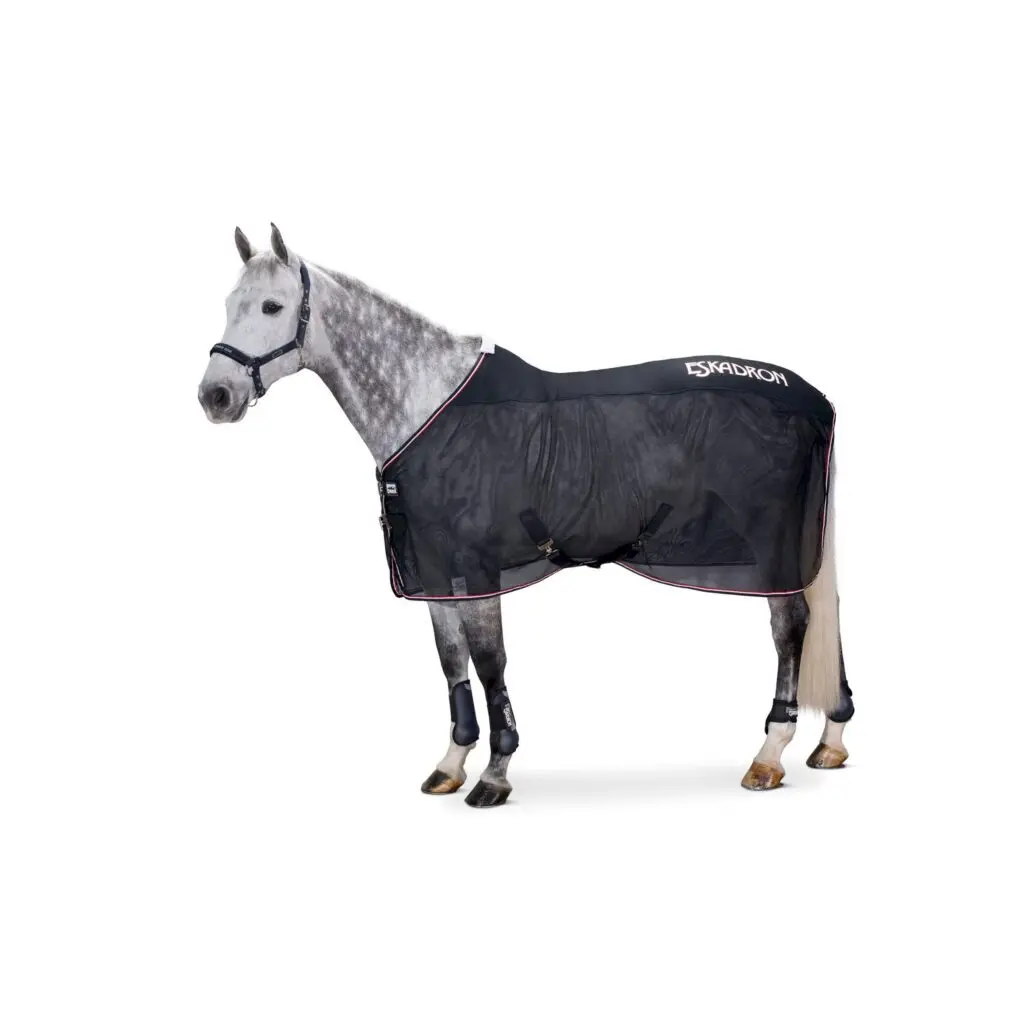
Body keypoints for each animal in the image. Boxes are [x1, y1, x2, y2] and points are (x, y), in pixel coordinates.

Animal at [198, 224, 855, 807]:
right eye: (229, 304)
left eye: (273, 305)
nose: (215, 397)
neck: (429, 406)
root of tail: (816, 400)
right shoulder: (437, 573)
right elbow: (452, 662)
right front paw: (450, 764)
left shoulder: (478, 571)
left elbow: (490, 664)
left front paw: (494, 775)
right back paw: (830, 741)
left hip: (771, 547)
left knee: (790, 629)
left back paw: (769, 755)